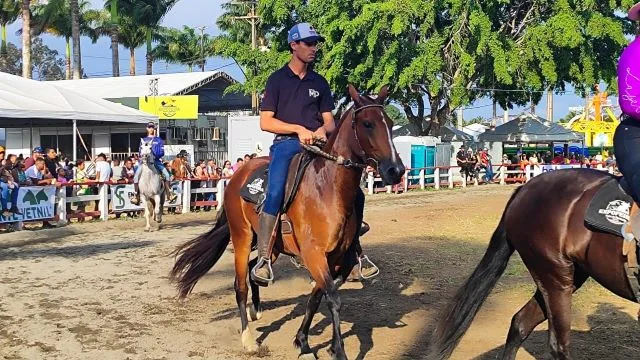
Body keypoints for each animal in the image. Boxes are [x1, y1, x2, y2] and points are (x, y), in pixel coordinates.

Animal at [168, 85, 402, 360]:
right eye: (367, 124)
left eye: (389, 123)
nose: (396, 170)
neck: (327, 189)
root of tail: (238, 175)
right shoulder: (314, 254)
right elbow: (333, 298)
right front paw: (337, 350)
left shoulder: (336, 257)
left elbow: (316, 296)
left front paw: (303, 342)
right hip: (242, 237)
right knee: (239, 285)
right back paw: (248, 339)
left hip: (271, 245)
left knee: (254, 267)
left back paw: (256, 306)